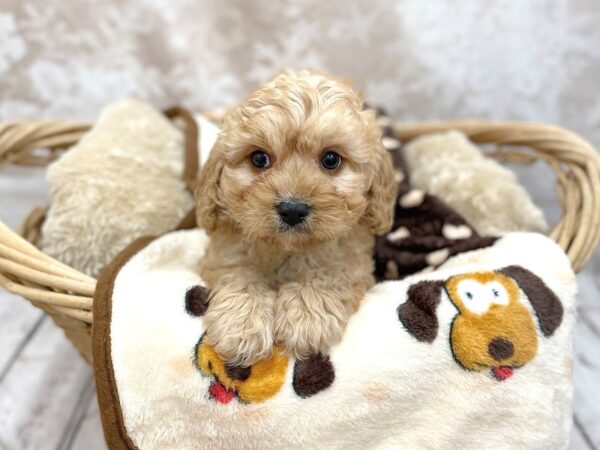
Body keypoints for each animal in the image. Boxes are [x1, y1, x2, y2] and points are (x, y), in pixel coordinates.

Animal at [197, 70, 398, 366]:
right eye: (259, 159)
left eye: (331, 159)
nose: (292, 209)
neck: (288, 249)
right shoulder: (227, 254)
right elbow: (240, 275)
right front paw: (241, 325)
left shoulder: (352, 260)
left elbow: (329, 273)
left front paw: (307, 316)